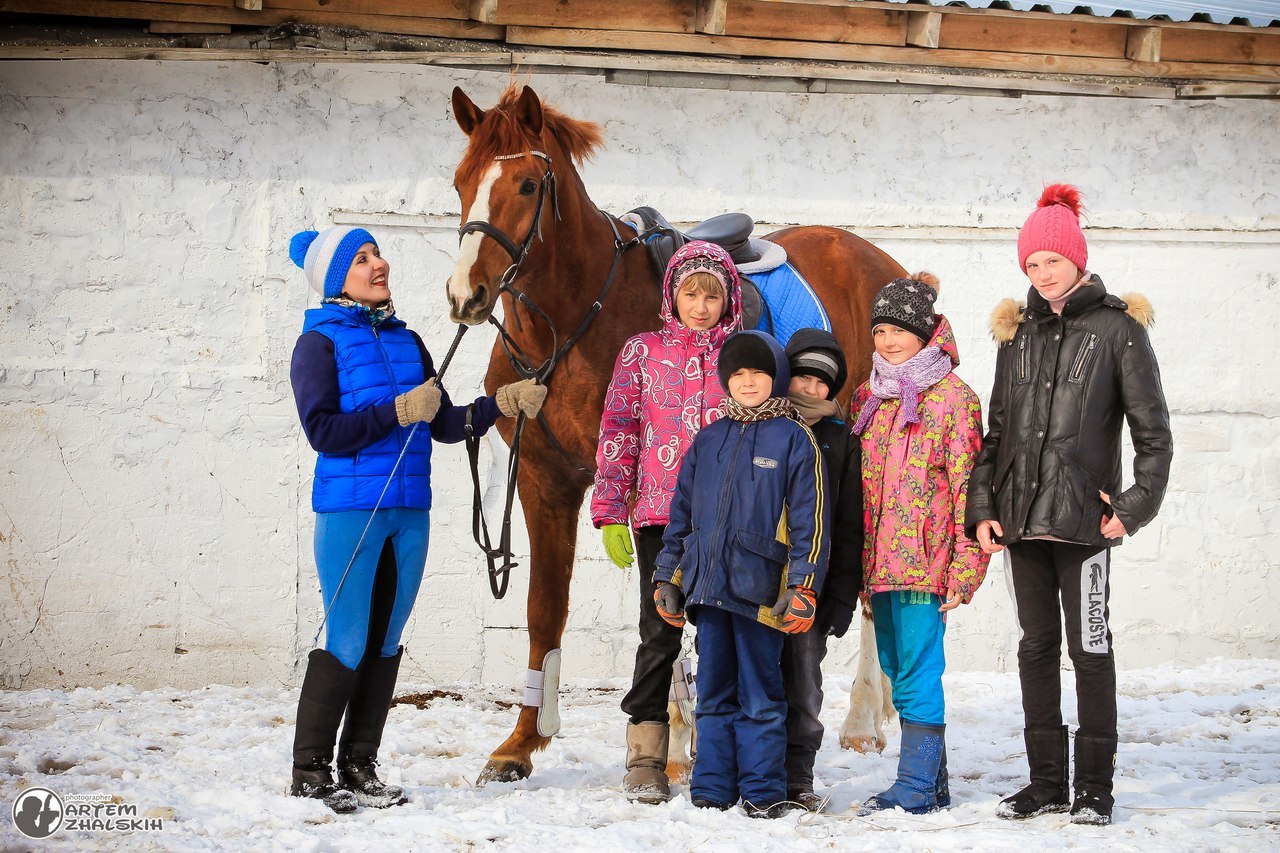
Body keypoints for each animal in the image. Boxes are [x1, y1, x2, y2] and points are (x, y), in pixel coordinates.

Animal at [445, 83, 906, 778]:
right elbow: (545, 610)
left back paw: (859, 720)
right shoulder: (544, 480)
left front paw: (674, 743)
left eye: (526, 184)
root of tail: (888, 264)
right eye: (461, 181)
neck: (577, 319)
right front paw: (522, 742)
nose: (464, 293)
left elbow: (668, 602)